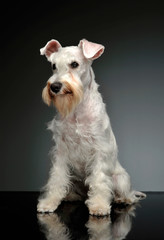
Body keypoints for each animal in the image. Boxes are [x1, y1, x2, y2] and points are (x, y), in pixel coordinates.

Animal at [37, 39, 146, 216]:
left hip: (120, 179)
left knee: (128, 194)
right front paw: (49, 203)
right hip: (74, 178)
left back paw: (122, 199)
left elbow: (99, 180)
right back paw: (70, 196)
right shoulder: (61, 151)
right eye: (53, 65)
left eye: (74, 64)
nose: (55, 86)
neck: (77, 110)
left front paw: (99, 206)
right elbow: (57, 178)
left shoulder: (100, 150)